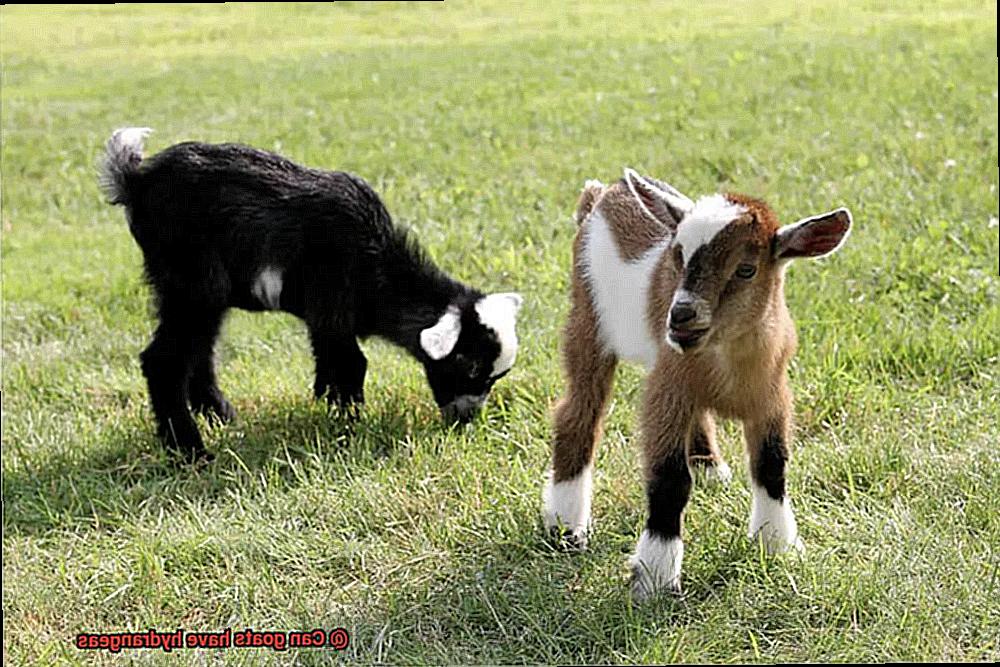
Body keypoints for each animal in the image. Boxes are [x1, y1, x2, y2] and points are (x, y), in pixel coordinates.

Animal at [100, 128, 524, 464]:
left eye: (496, 377)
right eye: (467, 364)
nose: (466, 418)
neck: (378, 267)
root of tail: (136, 180)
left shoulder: (325, 316)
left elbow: (327, 357)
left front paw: (326, 404)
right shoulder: (333, 301)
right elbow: (353, 363)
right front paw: (350, 423)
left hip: (193, 292)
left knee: (200, 351)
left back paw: (221, 417)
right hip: (192, 281)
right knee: (165, 360)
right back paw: (191, 451)